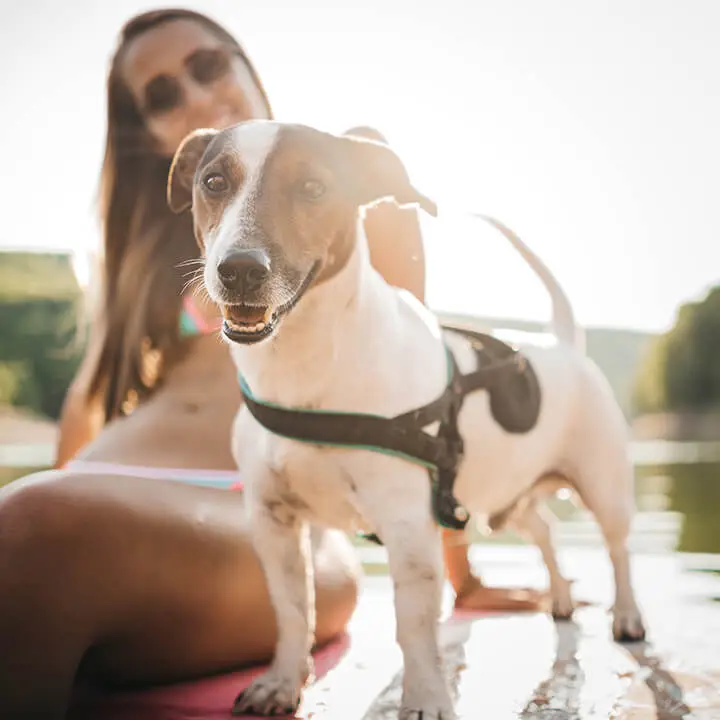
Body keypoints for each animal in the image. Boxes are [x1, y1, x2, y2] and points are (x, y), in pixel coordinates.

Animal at [169, 121, 648, 716]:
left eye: (313, 187)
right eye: (213, 181)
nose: (238, 269)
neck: (307, 367)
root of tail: (561, 343)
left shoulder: (406, 525)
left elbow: (415, 626)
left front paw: (425, 696)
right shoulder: (272, 520)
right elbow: (292, 610)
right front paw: (281, 681)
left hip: (604, 486)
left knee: (618, 548)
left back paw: (627, 615)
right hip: (505, 495)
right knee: (545, 528)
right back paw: (559, 597)